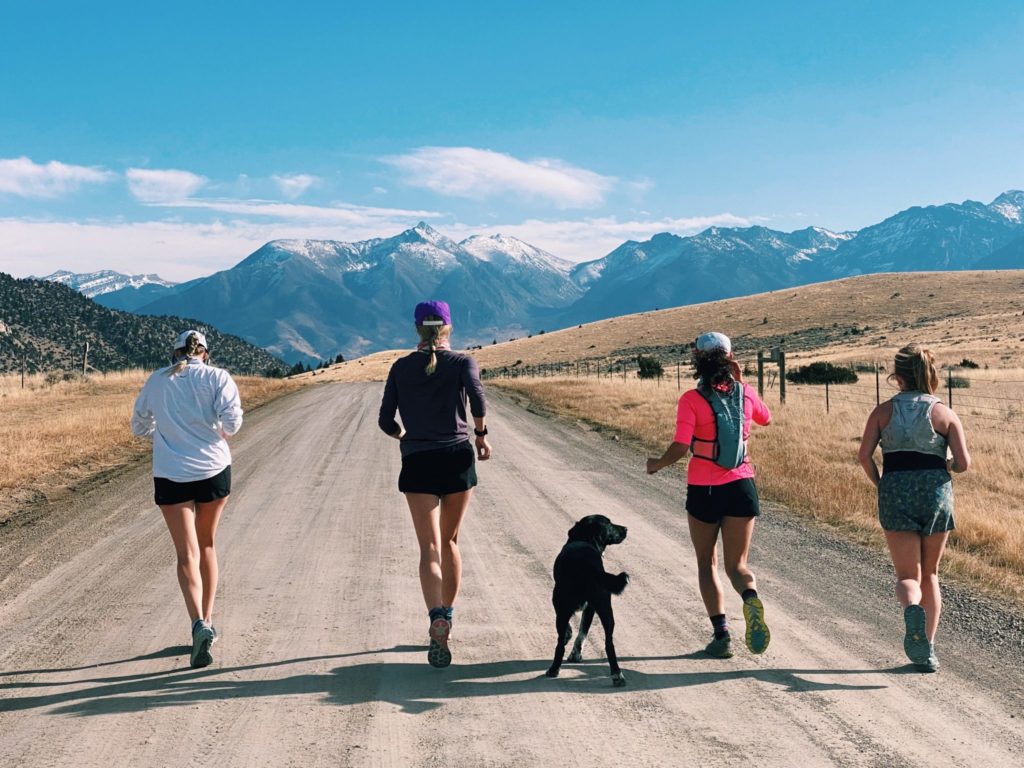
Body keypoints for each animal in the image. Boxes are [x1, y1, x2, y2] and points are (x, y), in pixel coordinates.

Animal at [548, 518, 626, 684]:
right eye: (609, 523)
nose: (626, 529)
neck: (586, 538)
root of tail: (587, 565)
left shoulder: (560, 606)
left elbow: (571, 631)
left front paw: (569, 640)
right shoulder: (591, 608)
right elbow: (582, 632)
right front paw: (575, 654)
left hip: (562, 605)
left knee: (559, 645)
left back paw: (553, 669)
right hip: (605, 609)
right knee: (609, 644)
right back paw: (617, 674)